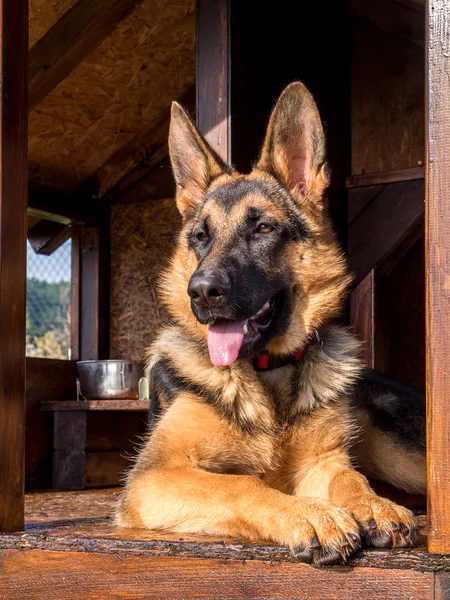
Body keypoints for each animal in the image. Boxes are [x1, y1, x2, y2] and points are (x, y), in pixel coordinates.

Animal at [116, 82, 426, 564]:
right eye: (200, 237)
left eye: (262, 228)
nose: (200, 291)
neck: (265, 373)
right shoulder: (155, 477)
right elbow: (242, 483)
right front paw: (309, 514)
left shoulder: (322, 463)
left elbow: (348, 476)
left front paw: (372, 503)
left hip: (401, 455)